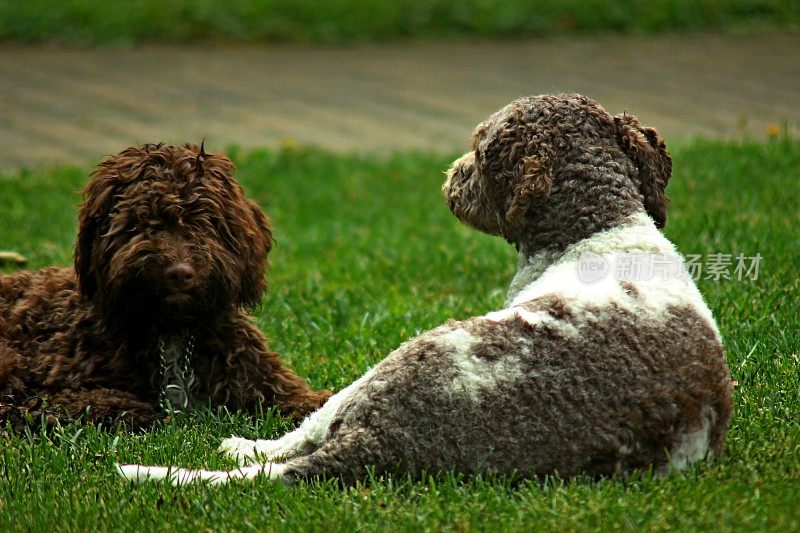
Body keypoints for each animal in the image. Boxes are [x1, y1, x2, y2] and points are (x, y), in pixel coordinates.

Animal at [0, 141, 332, 428]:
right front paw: (128, 409)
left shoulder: (253, 370)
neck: (172, 330)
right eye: (139, 222)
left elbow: (301, 398)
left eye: (204, 221)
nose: (179, 273)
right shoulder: (61, 379)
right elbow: (80, 397)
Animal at [117, 93, 732, 484]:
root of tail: (381, 442)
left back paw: (242, 446)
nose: (450, 173)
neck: (600, 226)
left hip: (394, 363)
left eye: (479, 149)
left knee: (298, 439)